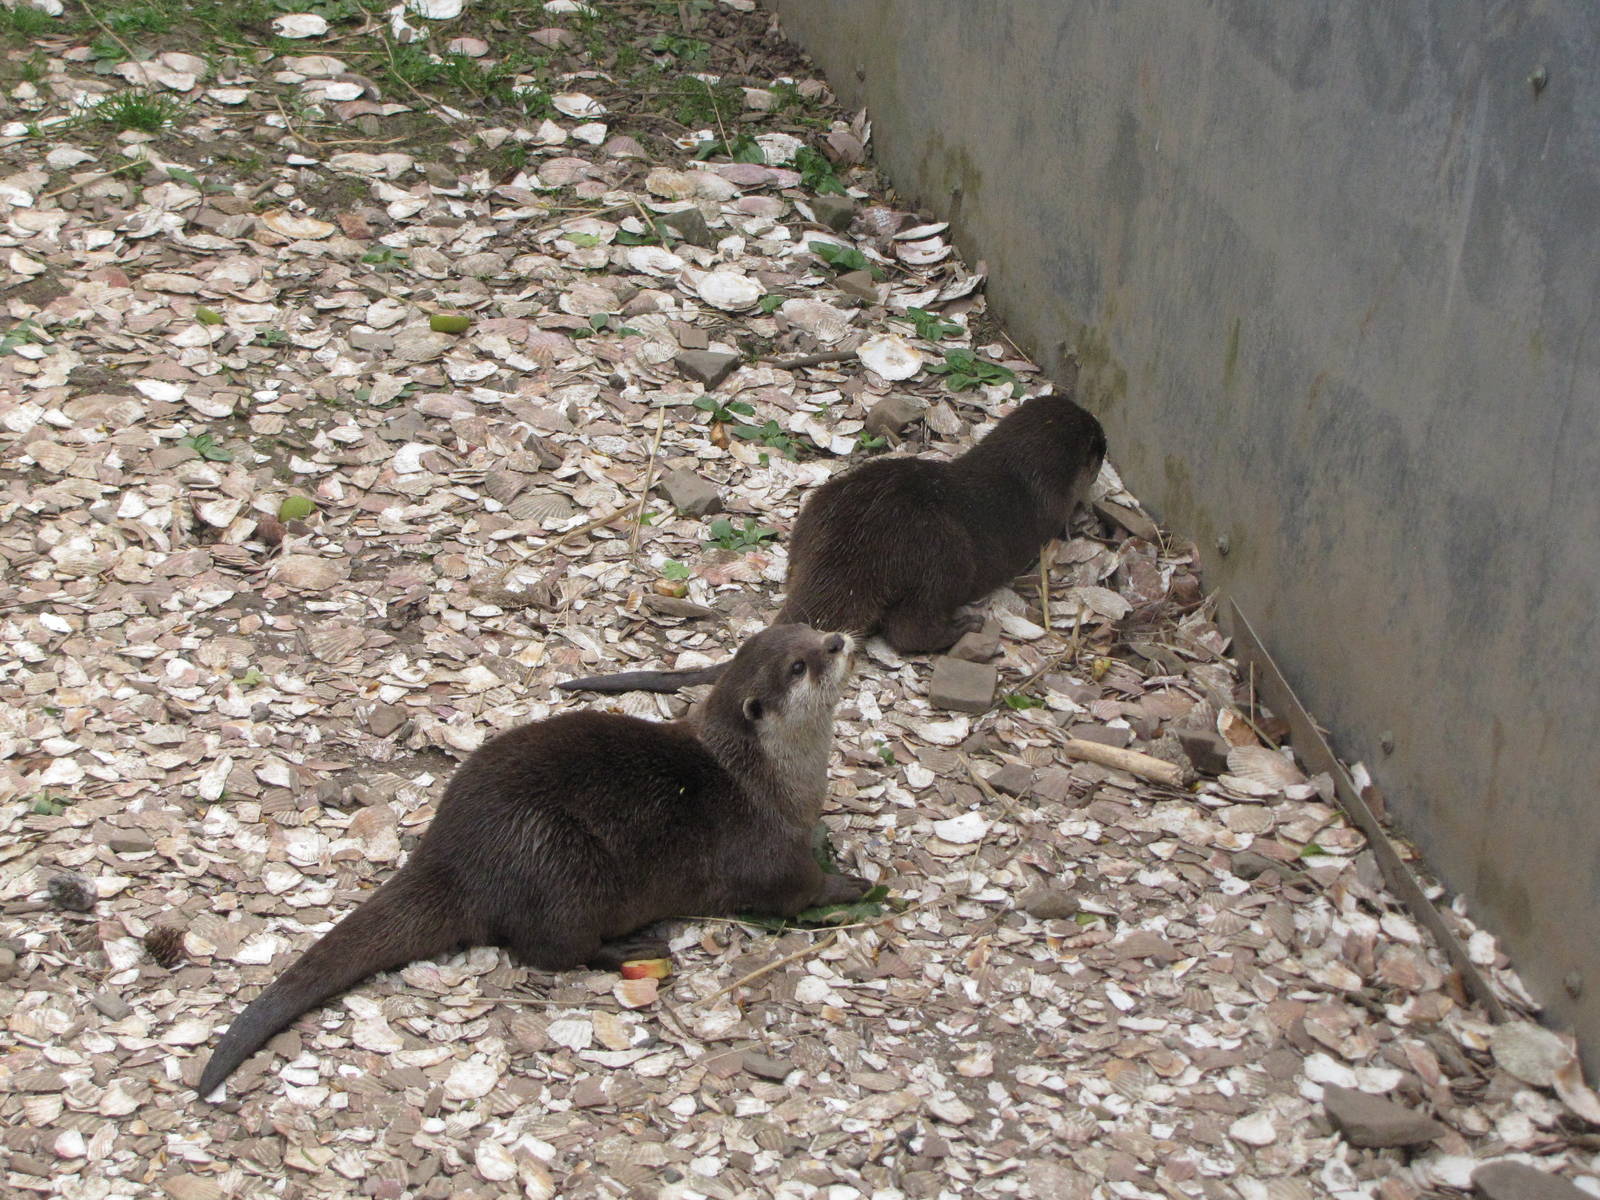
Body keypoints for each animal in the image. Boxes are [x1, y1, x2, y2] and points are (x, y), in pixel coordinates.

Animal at [196, 625, 869, 1098]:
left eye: (811, 630)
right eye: (800, 666)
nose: (838, 640)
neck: (767, 778)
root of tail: (453, 857)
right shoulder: (761, 846)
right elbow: (796, 891)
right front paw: (854, 884)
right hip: (559, 862)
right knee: (548, 949)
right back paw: (629, 949)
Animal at [560, 392, 1106, 694]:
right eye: (1099, 444)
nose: (1106, 439)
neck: (1017, 472)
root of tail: (850, 554)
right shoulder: (1047, 508)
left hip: (816, 513)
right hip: (940, 561)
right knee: (908, 630)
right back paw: (965, 625)